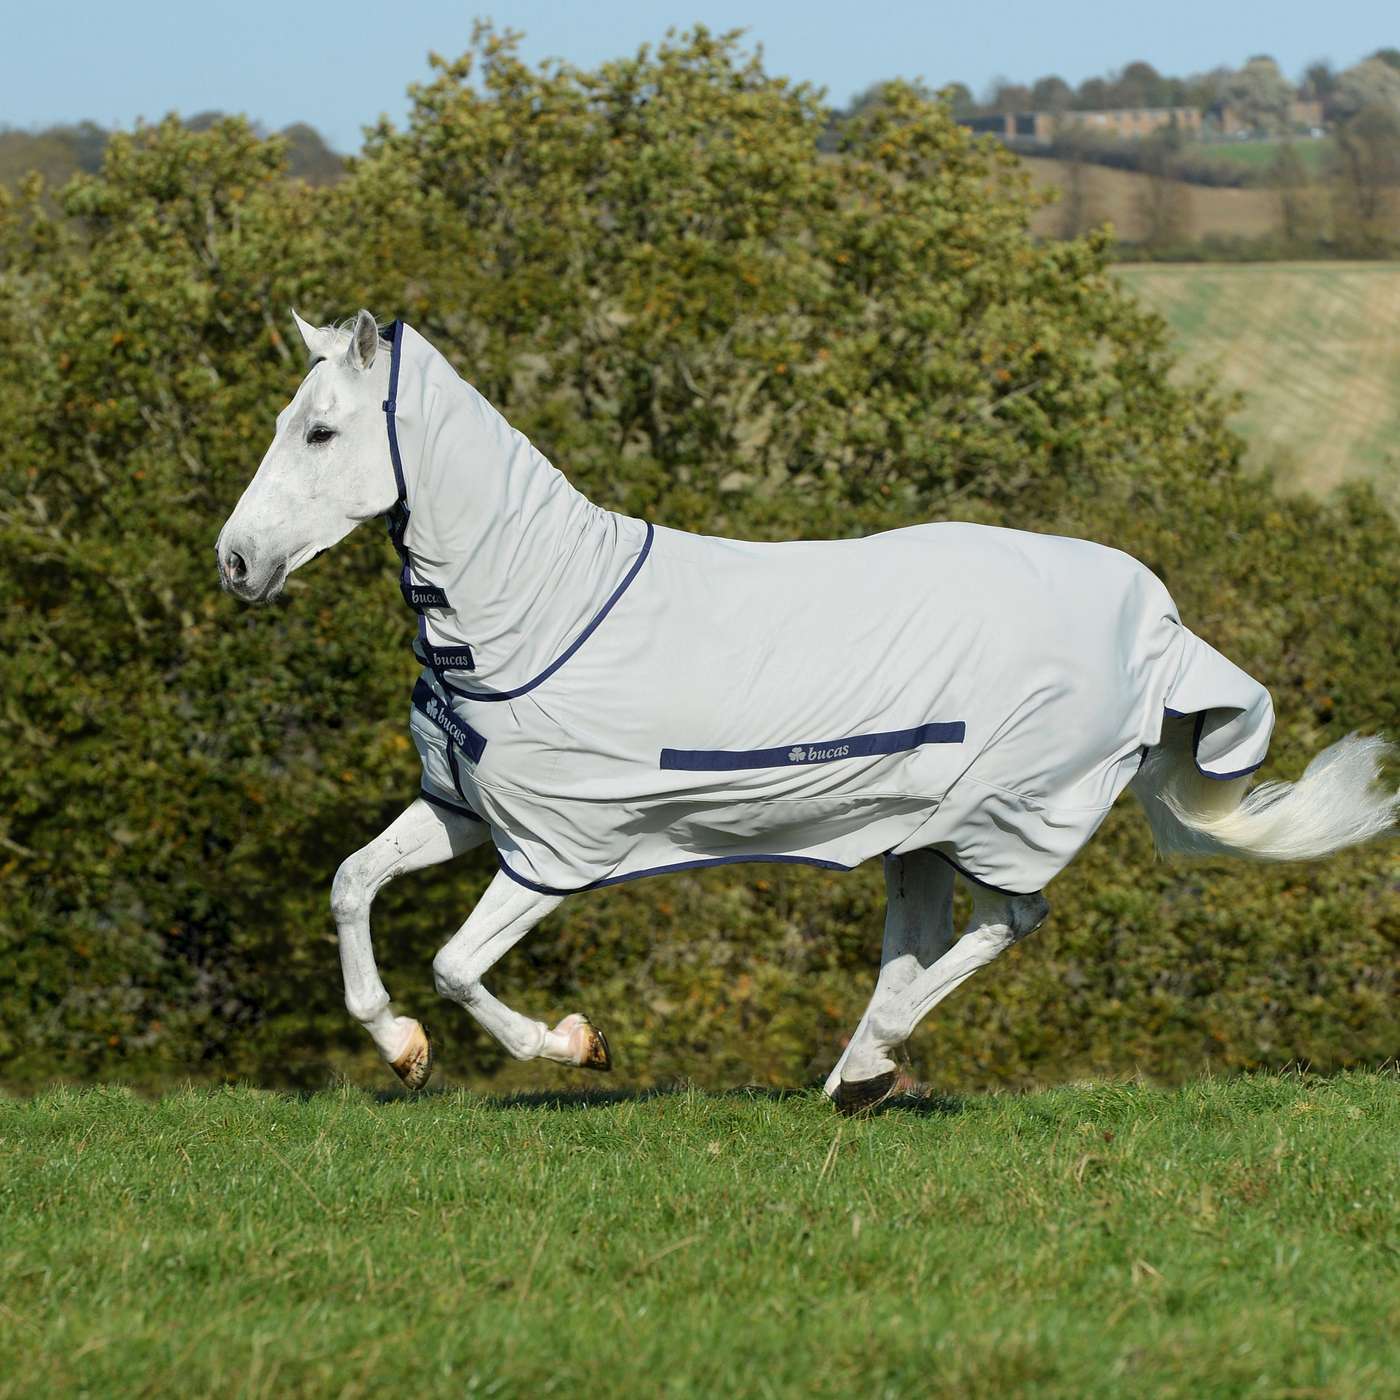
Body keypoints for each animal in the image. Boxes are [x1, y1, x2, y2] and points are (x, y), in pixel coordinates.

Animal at [216, 310, 1397, 1113]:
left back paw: (868, 1064)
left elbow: (458, 964)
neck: (537, 610)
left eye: (319, 433)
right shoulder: (463, 808)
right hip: (918, 830)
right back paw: (856, 1074)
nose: (234, 562)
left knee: (1010, 920)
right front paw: (401, 1047)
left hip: (1002, 814)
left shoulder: (560, 845)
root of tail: (1159, 622)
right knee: (920, 941)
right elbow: (350, 884)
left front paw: (578, 1043)